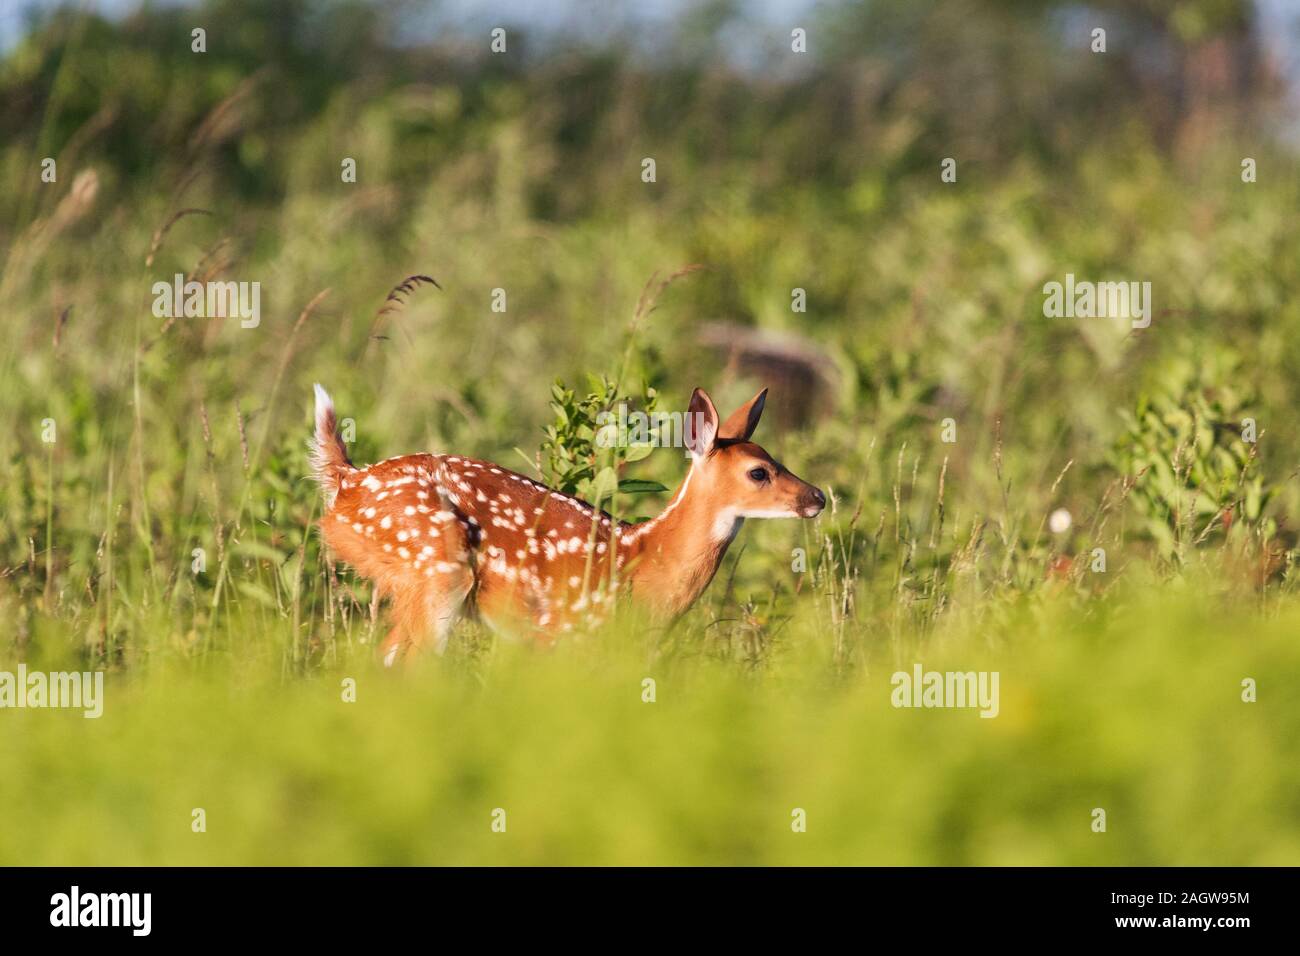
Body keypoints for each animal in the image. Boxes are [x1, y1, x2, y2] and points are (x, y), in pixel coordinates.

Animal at [309, 383, 825, 665]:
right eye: (759, 473)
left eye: (776, 460)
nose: (817, 497)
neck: (645, 561)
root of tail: (347, 481)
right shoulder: (555, 632)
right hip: (436, 567)